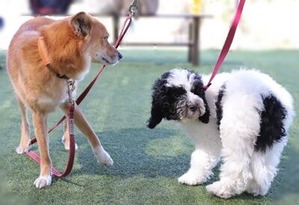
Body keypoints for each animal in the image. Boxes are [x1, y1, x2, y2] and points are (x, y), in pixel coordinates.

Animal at [5, 12, 122, 189]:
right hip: (20, 98)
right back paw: (24, 144)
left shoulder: (70, 102)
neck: (50, 62)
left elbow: (91, 133)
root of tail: (36, 17)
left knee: (68, 120)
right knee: (25, 122)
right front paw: (45, 175)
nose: (121, 56)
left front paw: (103, 157)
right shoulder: (38, 114)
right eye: (106, 38)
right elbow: (44, 150)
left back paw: (69, 141)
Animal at [148, 69, 296, 199]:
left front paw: (192, 177)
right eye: (176, 95)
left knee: (238, 167)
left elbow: (201, 158)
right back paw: (256, 189)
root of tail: (268, 97)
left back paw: (222, 190)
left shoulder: (208, 139)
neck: (205, 98)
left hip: (236, 131)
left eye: (195, 91)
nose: (194, 106)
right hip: (269, 141)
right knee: (264, 168)